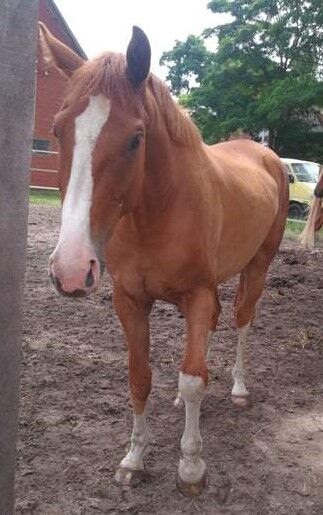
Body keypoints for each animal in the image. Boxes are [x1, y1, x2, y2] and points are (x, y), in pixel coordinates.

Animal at [39, 23, 290, 496]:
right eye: (58, 130)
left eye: (136, 138)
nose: (71, 270)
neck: (158, 210)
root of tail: (265, 154)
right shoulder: (130, 300)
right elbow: (141, 377)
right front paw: (133, 461)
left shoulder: (197, 294)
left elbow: (192, 379)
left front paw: (191, 467)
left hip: (257, 267)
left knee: (242, 320)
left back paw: (239, 388)